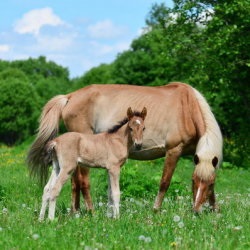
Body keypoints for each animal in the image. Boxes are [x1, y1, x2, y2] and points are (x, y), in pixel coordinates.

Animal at [27, 82, 223, 213]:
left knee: (75, 182)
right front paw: (156, 210)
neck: (187, 107)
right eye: (194, 182)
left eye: (209, 184)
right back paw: (90, 212)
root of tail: (70, 97)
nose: (196, 211)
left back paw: (75, 212)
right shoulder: (173, 150)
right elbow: (164, 182)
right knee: (83, 182)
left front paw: (215, 211)